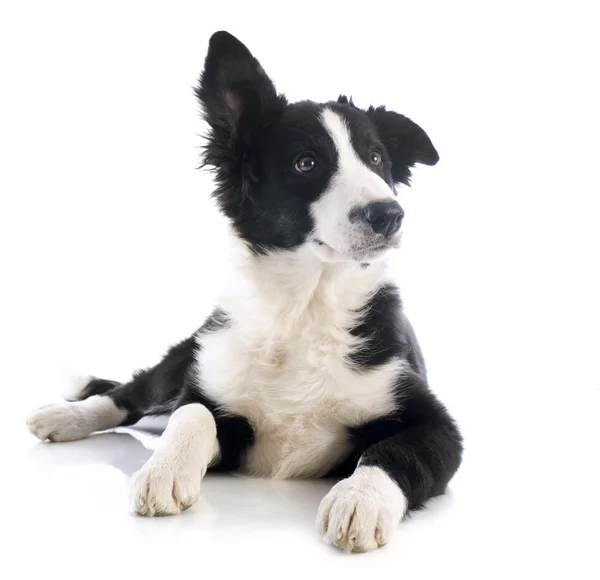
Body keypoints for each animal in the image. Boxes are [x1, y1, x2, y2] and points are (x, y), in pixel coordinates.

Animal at [25, 30, 462, 552]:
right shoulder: (215, 395)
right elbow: (192, 413)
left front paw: (360, 499)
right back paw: (62, 417)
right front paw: (164, 469)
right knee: (130, 393)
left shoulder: (436, 422)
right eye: (306, 162)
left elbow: (394, 451)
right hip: (188, 350)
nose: (389, 215)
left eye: (376, 159)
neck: (303, 307)